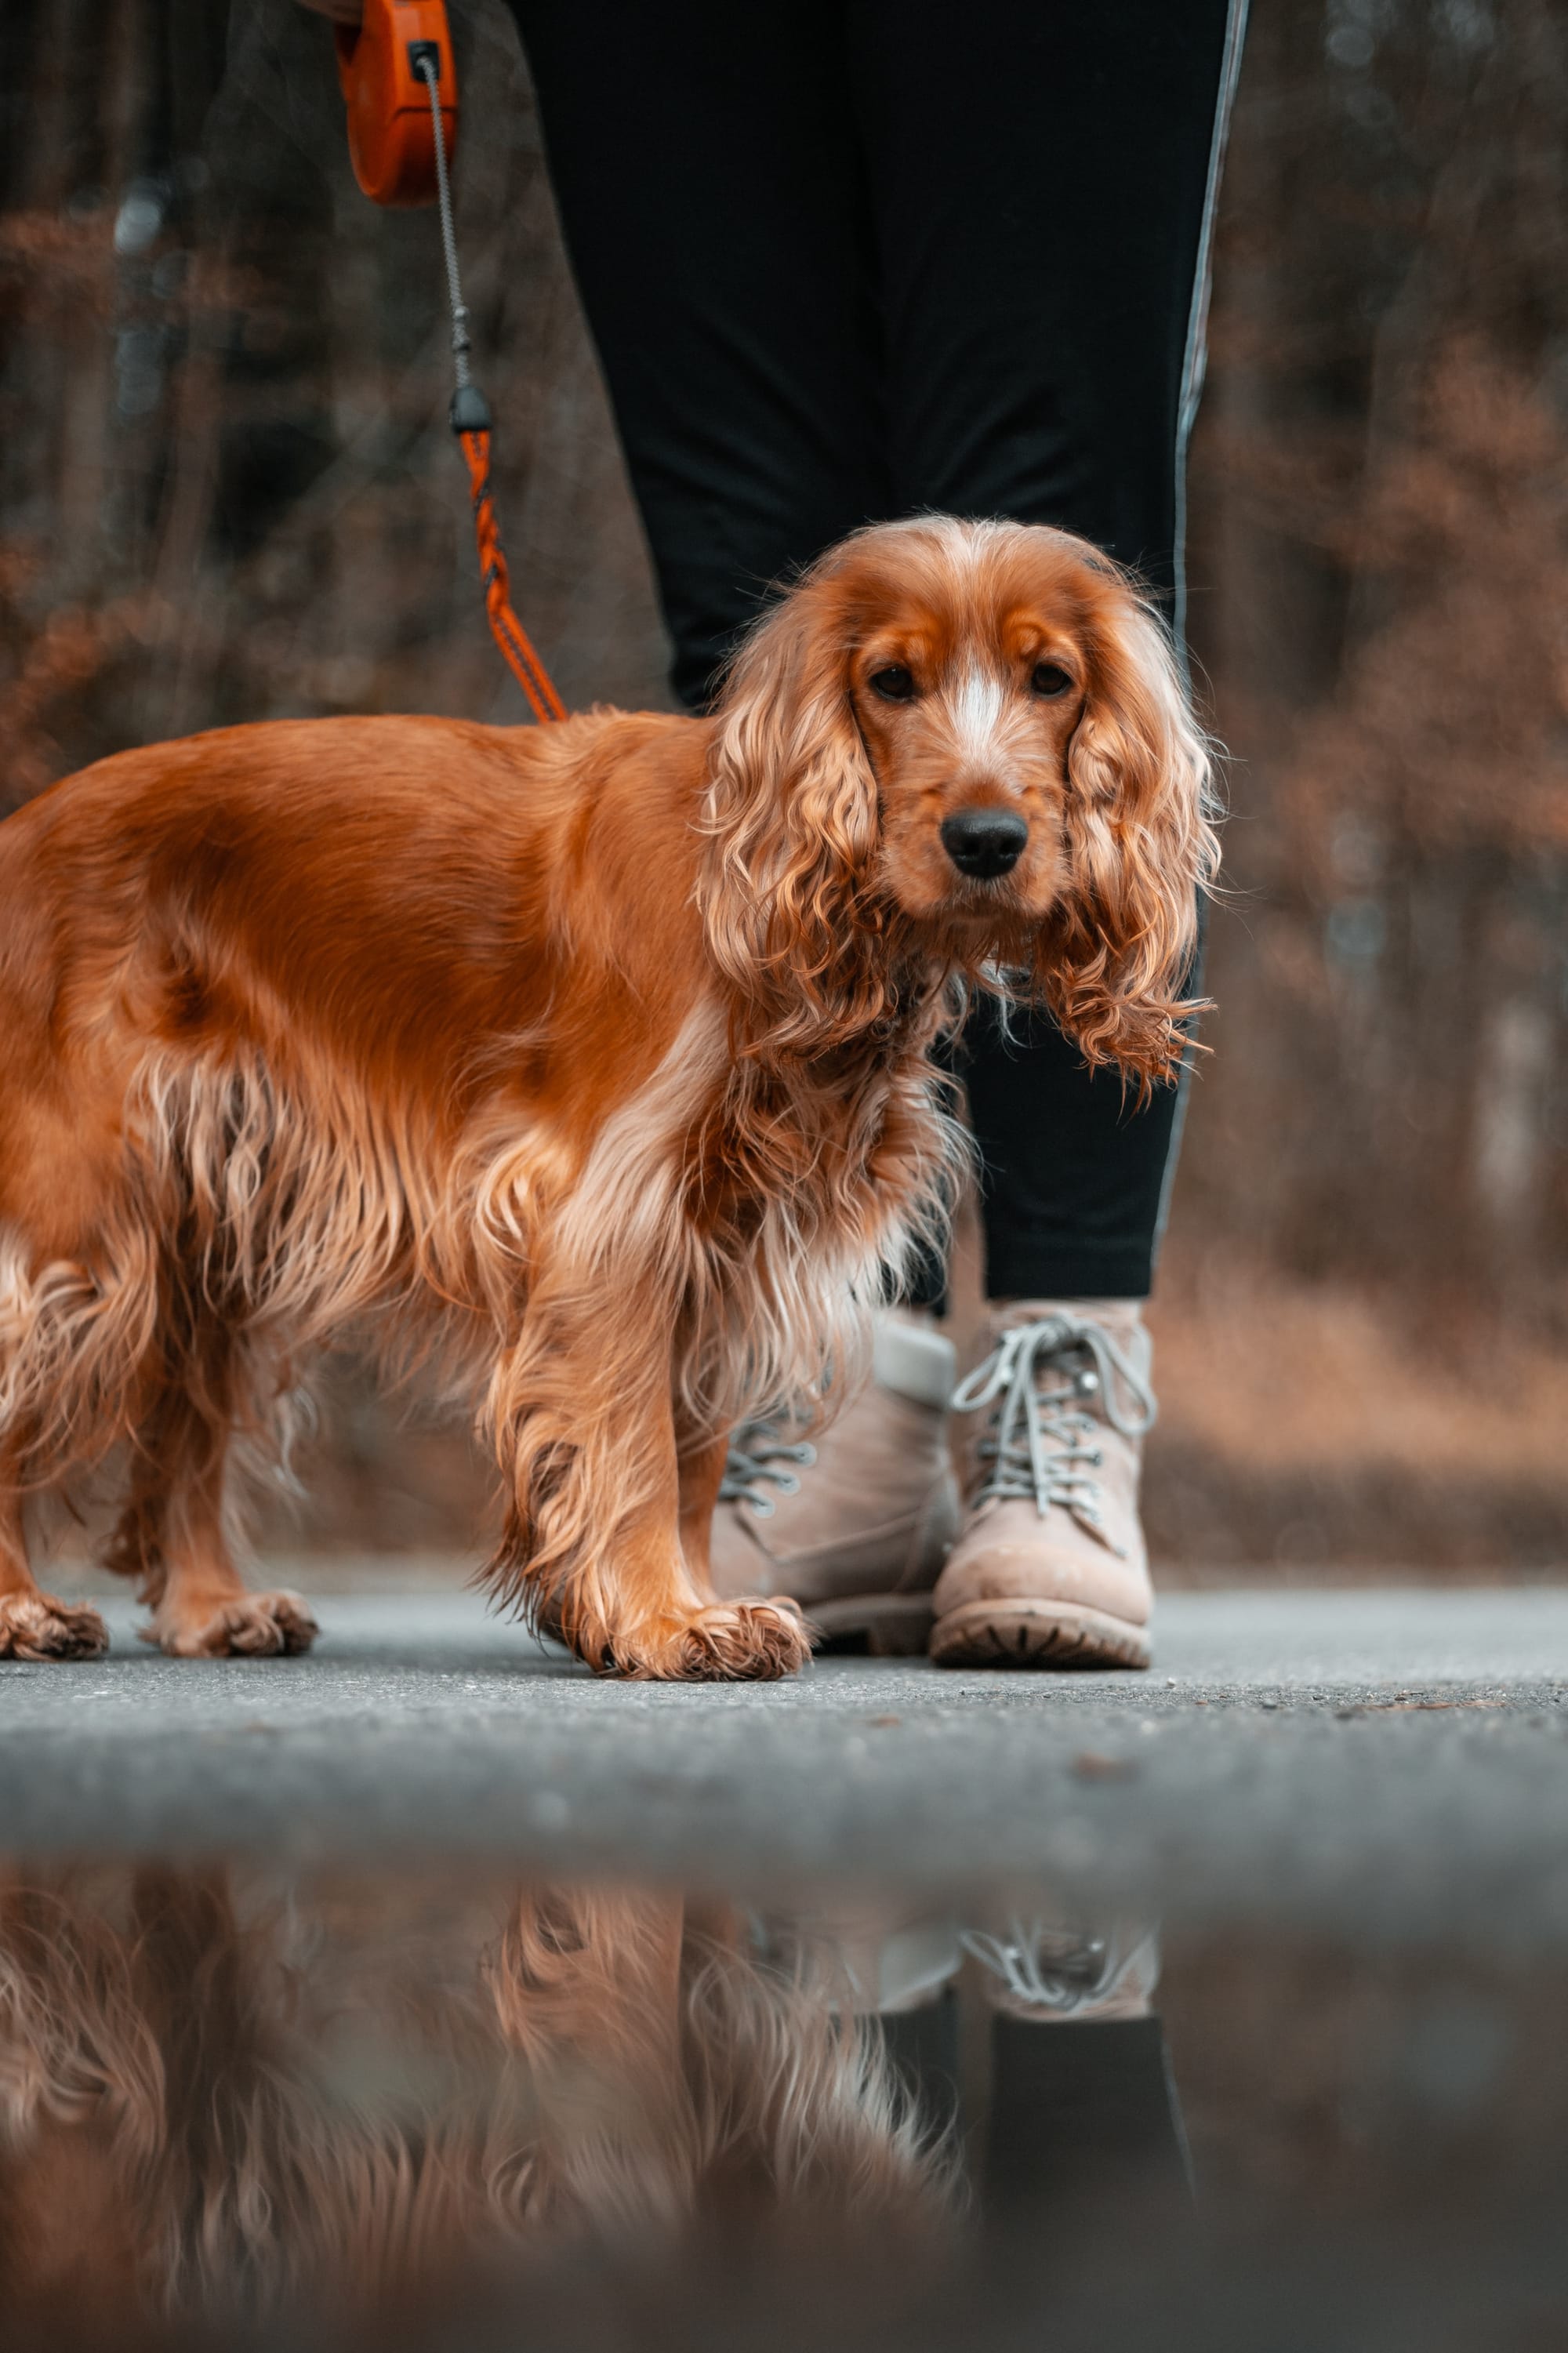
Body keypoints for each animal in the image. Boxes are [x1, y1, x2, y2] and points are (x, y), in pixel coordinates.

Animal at [0, 525, 1205, 1684]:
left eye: (1050, 677)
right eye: (890, 682)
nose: (988, 841)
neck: (753, 879)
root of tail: (19, 835)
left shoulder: (728, 1231)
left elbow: (692, 1457)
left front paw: (689, 1599)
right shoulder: (611, 1209)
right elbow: (633, 1446)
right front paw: (667, 1622)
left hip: (214, 1223)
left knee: (187, 1419)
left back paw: (211, 1607)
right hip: (83, 1224)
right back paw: (22, 1607)